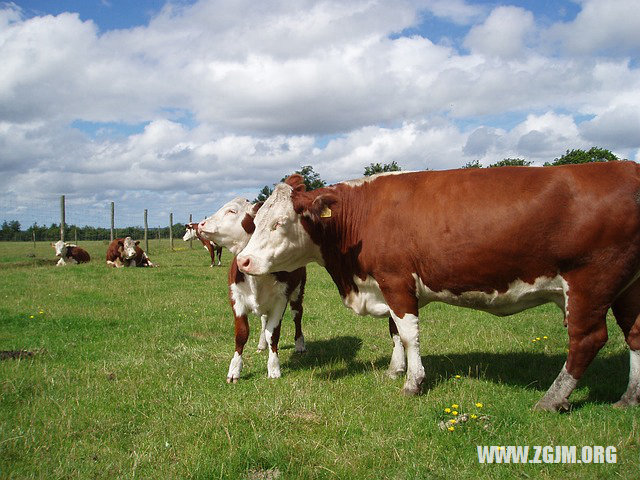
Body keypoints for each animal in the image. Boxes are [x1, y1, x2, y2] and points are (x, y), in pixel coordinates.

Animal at [199, 196, 306, 382]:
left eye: (232, 211)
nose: (201, 224)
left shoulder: (280, 300)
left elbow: (273, 333)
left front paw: (274, 367)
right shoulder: (236, 298)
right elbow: (241, 334)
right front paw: (234, 369)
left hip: (297, 291)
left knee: (297, 315)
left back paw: (299, 344)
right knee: (264, 320)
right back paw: (262, 344)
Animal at [236, 162, 640, 412]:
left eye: (280, 222)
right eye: (254, 222)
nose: (243, 262)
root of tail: (626, 167)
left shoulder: (397, 280)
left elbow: (408, 333)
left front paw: (413, 382)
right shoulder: (388, 285)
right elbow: (394, 331)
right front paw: (394, 370)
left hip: (590, 282)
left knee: (588, 339)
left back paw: (552, 399)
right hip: (627, 288)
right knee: (633, 334)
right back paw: (629, 397)